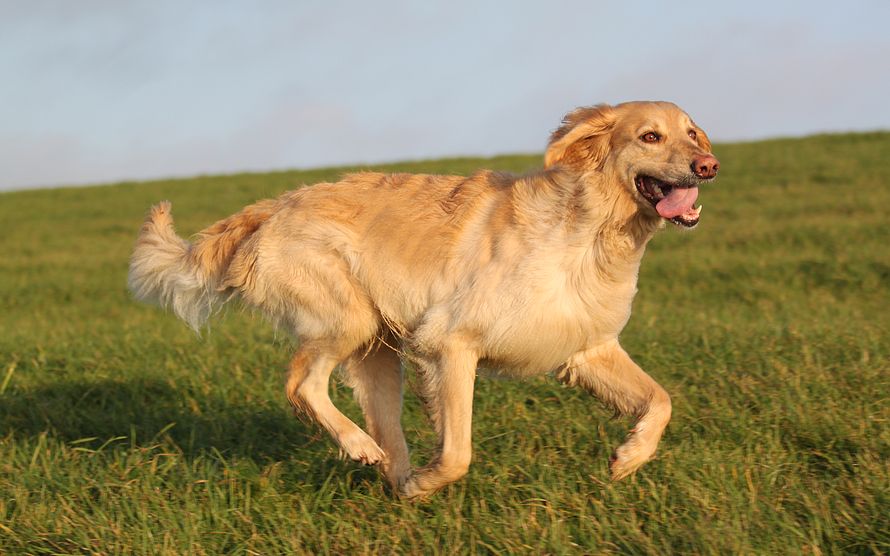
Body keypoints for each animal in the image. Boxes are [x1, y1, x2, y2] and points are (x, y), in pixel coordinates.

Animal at [129, 101, 719, 498]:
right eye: (649, 136)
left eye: (693, 134)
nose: (709, 165)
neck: (589, 231)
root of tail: (275, 206)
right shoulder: (448, 344)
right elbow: (458, 451)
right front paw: (429, 482)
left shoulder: (586, 349)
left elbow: (661, 400)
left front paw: (629, 457)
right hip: (348, 320)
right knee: (301, 385)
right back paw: (364, 450)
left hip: (377, 354)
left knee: (382, 430)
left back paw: (389, 475)